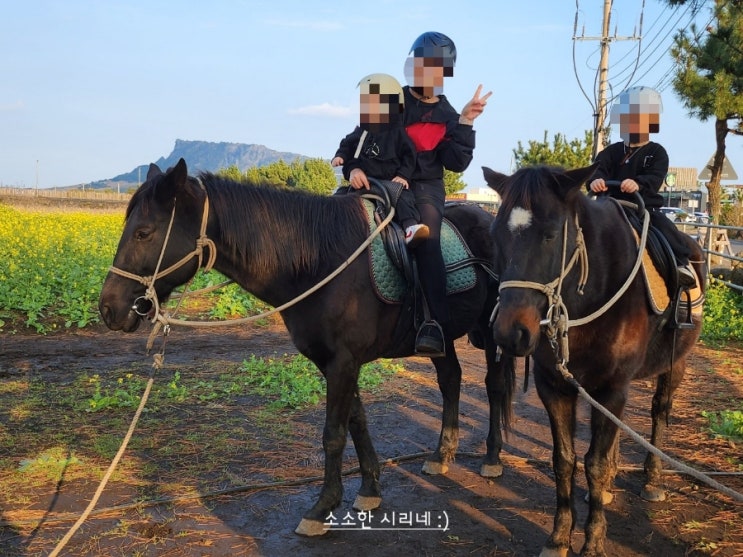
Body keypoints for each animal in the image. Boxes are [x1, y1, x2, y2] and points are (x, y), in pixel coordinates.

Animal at [99, 156, 516, 536]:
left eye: (144, 233)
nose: (108, 308)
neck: (319, 259)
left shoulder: (344, 361)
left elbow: (333, 434)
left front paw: (323, 507)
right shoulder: (332, 361)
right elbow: (356, 421)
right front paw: (370, 487)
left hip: (493, 331)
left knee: (494, 386)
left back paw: (492, 456)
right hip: (442, 338)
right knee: (451, 380)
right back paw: (442, 453)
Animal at [486, 164, 708, 556]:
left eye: (551, 234)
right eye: (496, 235)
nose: (510, 333)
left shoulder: (611, 388)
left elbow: (596, 464)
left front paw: (592, 541)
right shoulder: (556, 387)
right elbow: (565, 460)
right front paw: (559, 536)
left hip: (674, 365)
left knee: (659, 413)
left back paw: (651, 479)